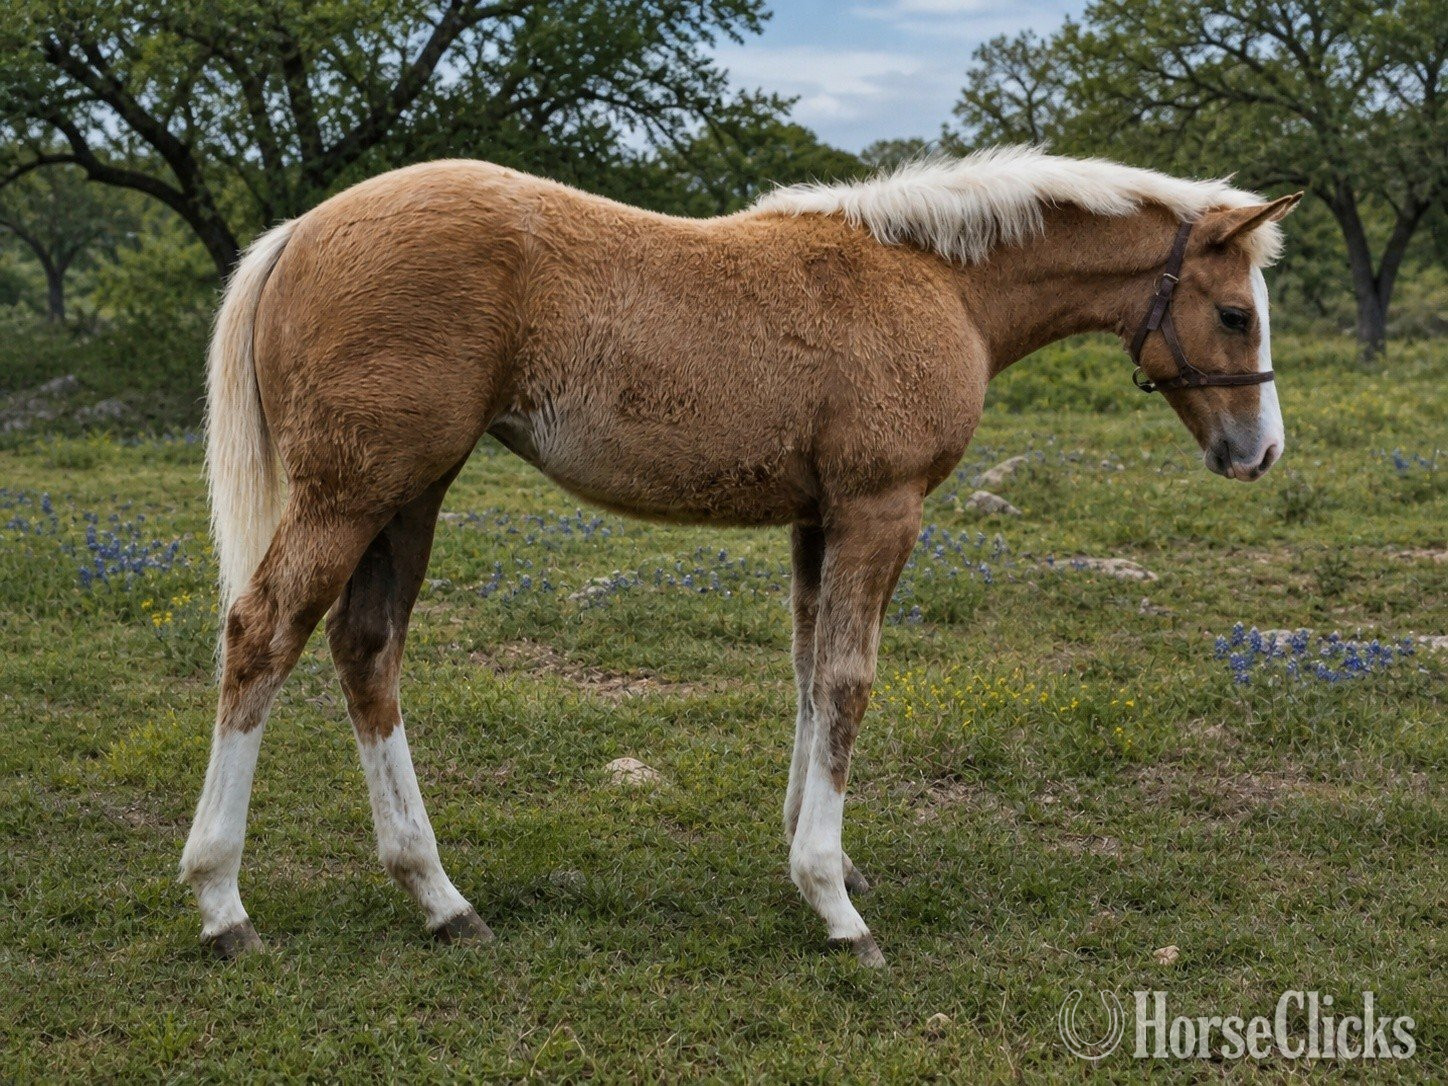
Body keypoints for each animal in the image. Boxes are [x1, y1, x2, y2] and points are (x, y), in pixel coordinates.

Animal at [180, 146, 1299, 965]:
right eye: (1233, 313)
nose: (1258, 453)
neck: (932, 280)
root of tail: (300, 232)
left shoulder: (818, 519)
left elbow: (807, 676)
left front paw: (820, 865)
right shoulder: (879, 510)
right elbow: (847, 681)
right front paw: (835, 906)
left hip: (409, 495)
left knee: (365, 649)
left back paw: (438, 897)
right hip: (355, 493)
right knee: (262, 633)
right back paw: (224, 903)